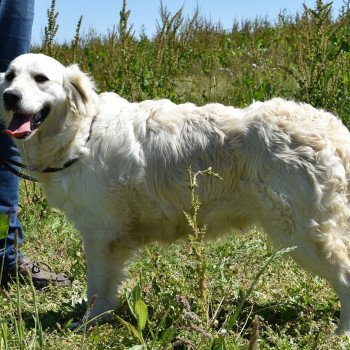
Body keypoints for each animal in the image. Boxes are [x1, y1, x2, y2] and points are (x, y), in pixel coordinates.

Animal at [0, 53, 350, 334]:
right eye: (9, 76)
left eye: (41, 78)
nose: (9, 97)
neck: (82, 133)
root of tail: (333, 129)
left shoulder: (101, 235)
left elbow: (96, 289)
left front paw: (88, 323)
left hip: (301, 234)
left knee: (345, 277)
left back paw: (342, 333)